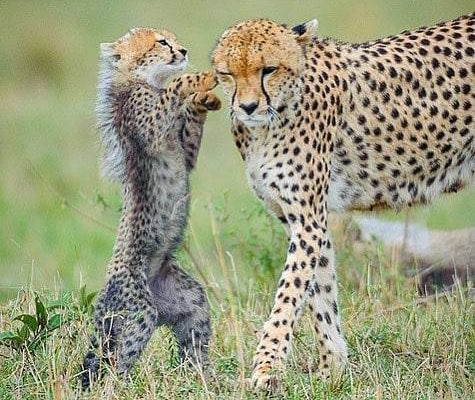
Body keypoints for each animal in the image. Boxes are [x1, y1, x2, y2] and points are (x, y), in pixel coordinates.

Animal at [82, 27, 221, 388]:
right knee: (115, 361)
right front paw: (202, 78)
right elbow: (173, 89)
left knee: (194, 338)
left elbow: (190, 131)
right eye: (161, 42)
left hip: (187, 299)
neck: (142, 79)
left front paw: (203, 100)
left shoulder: (186, 152)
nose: (183, 51)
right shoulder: (151, 124)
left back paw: (202, 379)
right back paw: (118, 389)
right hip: (139, 312)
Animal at [213, 14, 475, 390]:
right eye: (228, 73)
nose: (247, 107)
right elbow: (320, 295)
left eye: (268, 69)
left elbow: (288, 295)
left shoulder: (308, 221)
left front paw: (266, 368)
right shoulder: (303, 220)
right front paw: (332, 371)